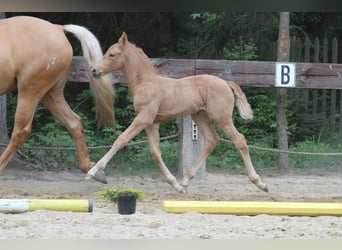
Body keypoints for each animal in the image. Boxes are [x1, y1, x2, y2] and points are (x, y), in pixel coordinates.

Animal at [0, 16, 115, 180]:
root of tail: (57, 28)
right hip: (51, 94)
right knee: (74, 122)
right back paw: (90, 168)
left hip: (30, 90)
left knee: (21, 131)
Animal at [89, 31, 268, 193]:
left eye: (112, 54)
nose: (95, 71)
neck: (145, 82)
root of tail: (225, 82)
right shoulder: (152, 123)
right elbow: (155, 152)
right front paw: (175, 184)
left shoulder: (143, 118)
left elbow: (121, 139)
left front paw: (93, 172)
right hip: (200, 116)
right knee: (212, 140)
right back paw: (185, 181)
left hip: (221, 117)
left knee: (239, 140)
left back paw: (260, 183)